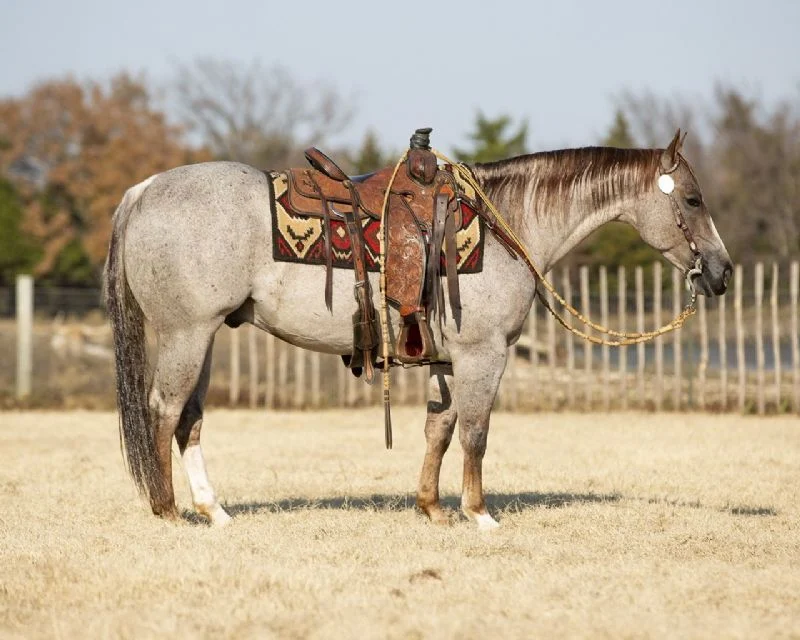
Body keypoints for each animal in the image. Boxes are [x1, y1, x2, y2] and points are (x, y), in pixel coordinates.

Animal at [104, 129, 732, 529]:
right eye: (693, 198)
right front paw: (479, 513)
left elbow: (440, 428)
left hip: (204, 336)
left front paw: (431, 508)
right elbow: (476, 431)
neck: (507, 222)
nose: (722, 272)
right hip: (186, 334)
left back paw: (213, 510)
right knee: (164, 409)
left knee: (189, 417)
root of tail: (144, 189)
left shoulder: (447, 360)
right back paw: (167, 510)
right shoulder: (484, 355)